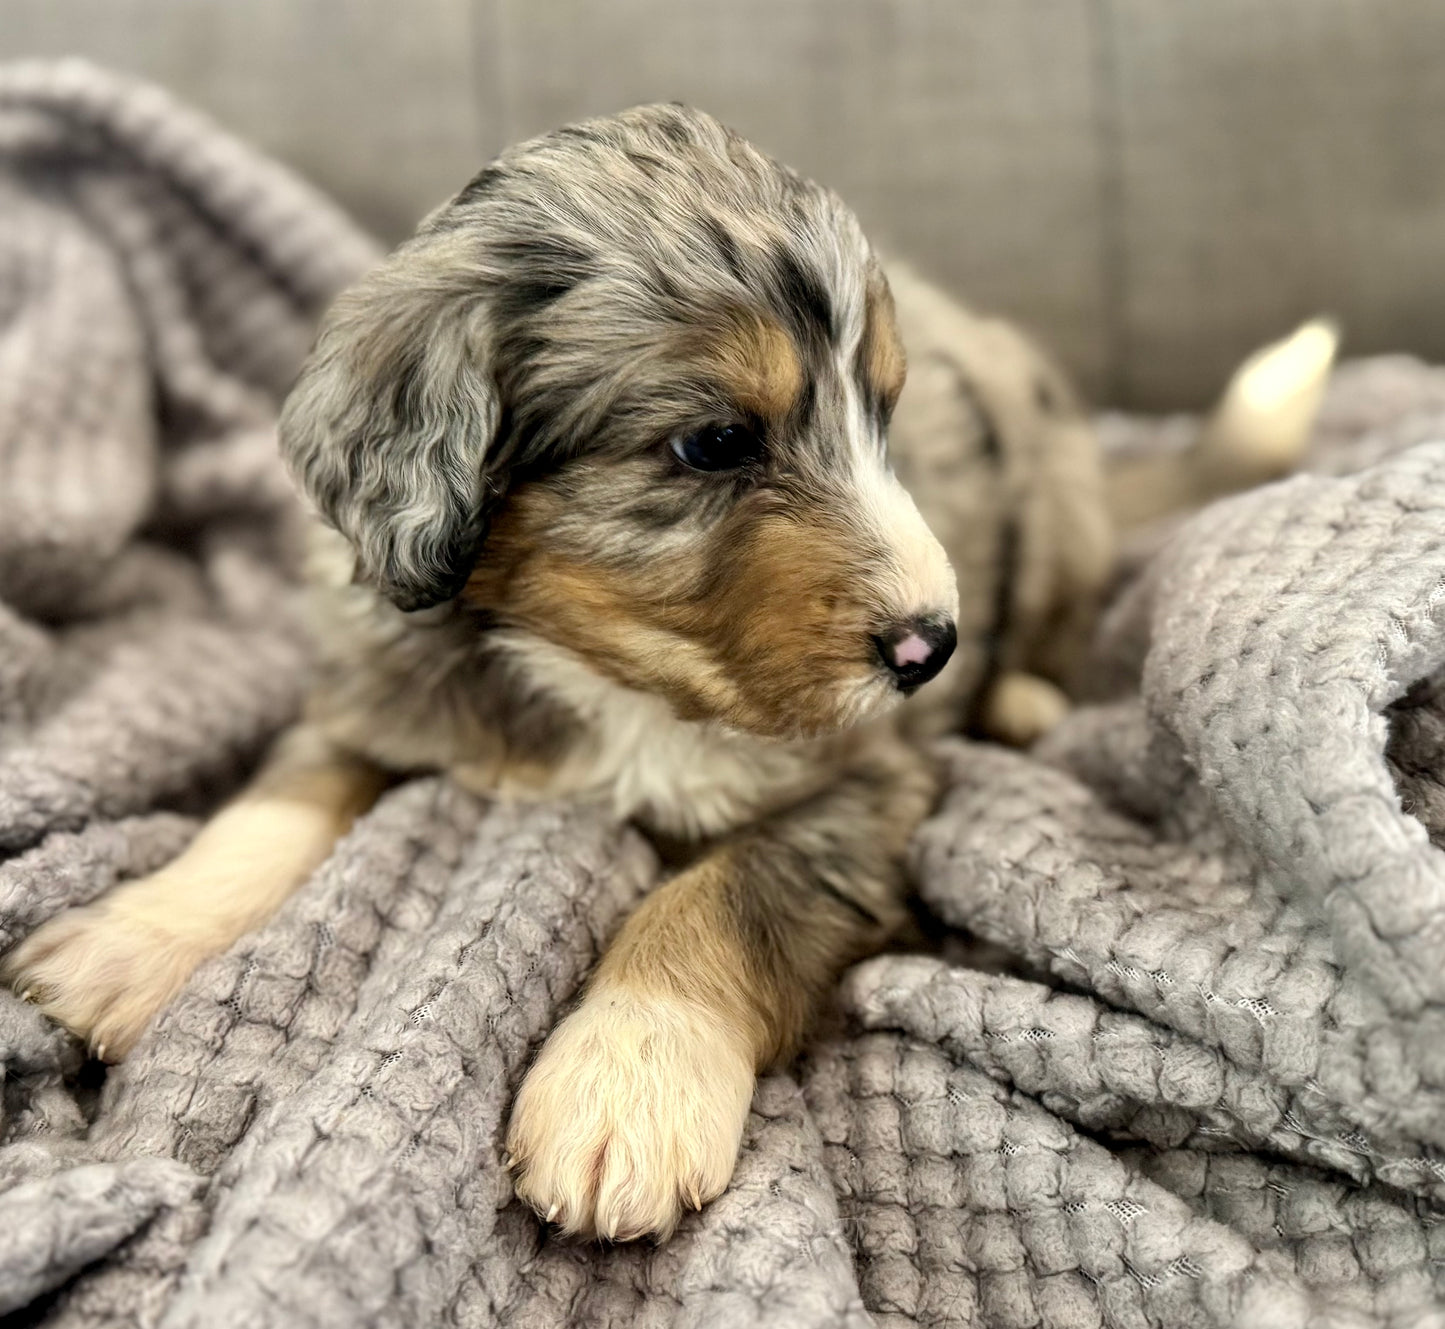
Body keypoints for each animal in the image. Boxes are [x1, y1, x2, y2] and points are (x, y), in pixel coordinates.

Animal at [0, 106, 1329, 1248]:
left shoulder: (862, 786)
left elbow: (716, 894)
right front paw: (130, 938)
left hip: (1048, 494)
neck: (597, 673)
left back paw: (1019, 691)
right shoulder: (375, 687)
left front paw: (623, 1085)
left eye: (883, 417)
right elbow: (268, 808)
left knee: (1051, 617)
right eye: (714, 443)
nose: (928, 647)